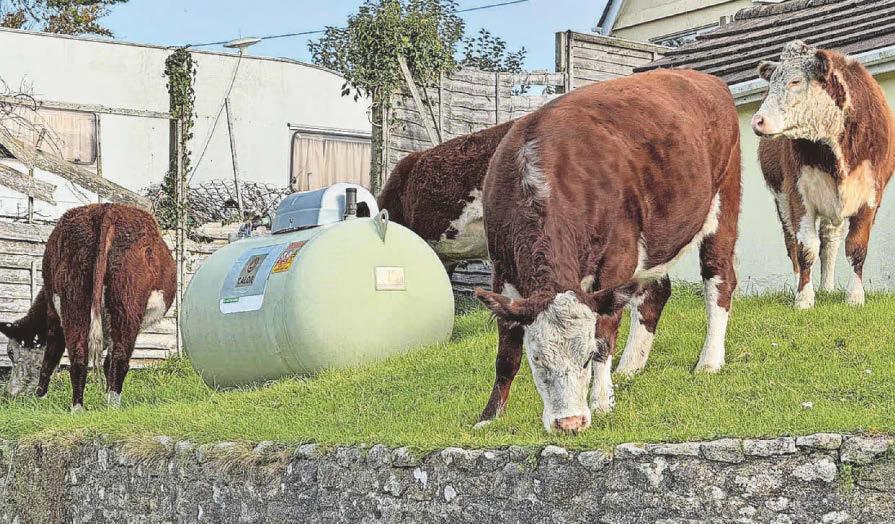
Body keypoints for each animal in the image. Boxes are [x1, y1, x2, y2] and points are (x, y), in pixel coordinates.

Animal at [0, 203, 176, 410]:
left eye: (11, 353)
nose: (9, 393)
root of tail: (107, 210)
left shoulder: (54, 312)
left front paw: (39, 397)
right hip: (123, 306)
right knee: (117, 357)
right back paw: (109, 406)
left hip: (77, 300)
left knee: (80, 356)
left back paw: (82, 407)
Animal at [474, 69, 741, 434]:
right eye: (538, 359)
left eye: (586, 357)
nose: (570, 422)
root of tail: (704, 78)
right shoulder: (502, 270)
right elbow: (506, 354)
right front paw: (489, 416)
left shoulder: (618, 258)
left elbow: (605, 334)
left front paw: (601, 401)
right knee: (656, 292)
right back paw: (630, 367)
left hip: (723, 199)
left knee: (719, 278)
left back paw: (709, 362)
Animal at [752, 40, 895, 309]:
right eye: (772, 82)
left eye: (795, 81)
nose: (758, 120)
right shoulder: (798, 194)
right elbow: (806, 248)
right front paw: (803, 298)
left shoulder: (871, 194)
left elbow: (857, 246)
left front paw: (854, 296)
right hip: (781, 199)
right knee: (792, 242)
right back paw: (798, 284)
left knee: (830, 239)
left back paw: (827, 288)